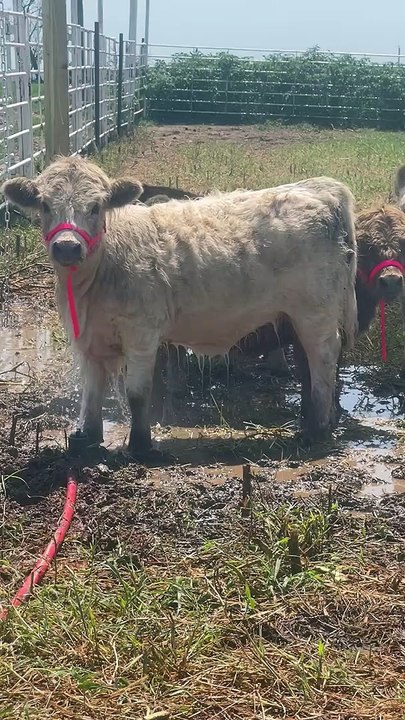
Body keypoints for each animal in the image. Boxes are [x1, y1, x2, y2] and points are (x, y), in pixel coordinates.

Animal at [2, 156, 357, 458]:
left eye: (96, 206)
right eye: (45, 205)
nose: (67, 247)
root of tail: (318, 187)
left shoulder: (142, 332)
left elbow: (137, 392)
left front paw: (140, 447)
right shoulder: (90, 337)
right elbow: (92, 389)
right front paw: (87, 439)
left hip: (316, 313)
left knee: (323, 359)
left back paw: (316, 429)